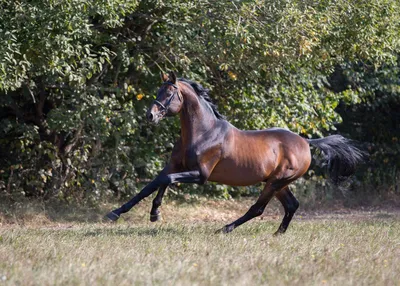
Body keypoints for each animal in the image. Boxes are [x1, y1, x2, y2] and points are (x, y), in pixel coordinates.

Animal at [105, 71, 362, 235]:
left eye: (169, 94)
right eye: (158, 91)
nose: (150, 115)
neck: (204, 132)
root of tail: (306, 142)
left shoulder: (200, 175)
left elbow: (164, 180)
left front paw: (153, 213)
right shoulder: (175, 165)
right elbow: (154, 183)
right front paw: (122, 213)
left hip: (276, 182)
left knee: (258, 208)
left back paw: (225, 228)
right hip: (278, 183)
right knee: (292, 205)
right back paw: (277, 234)